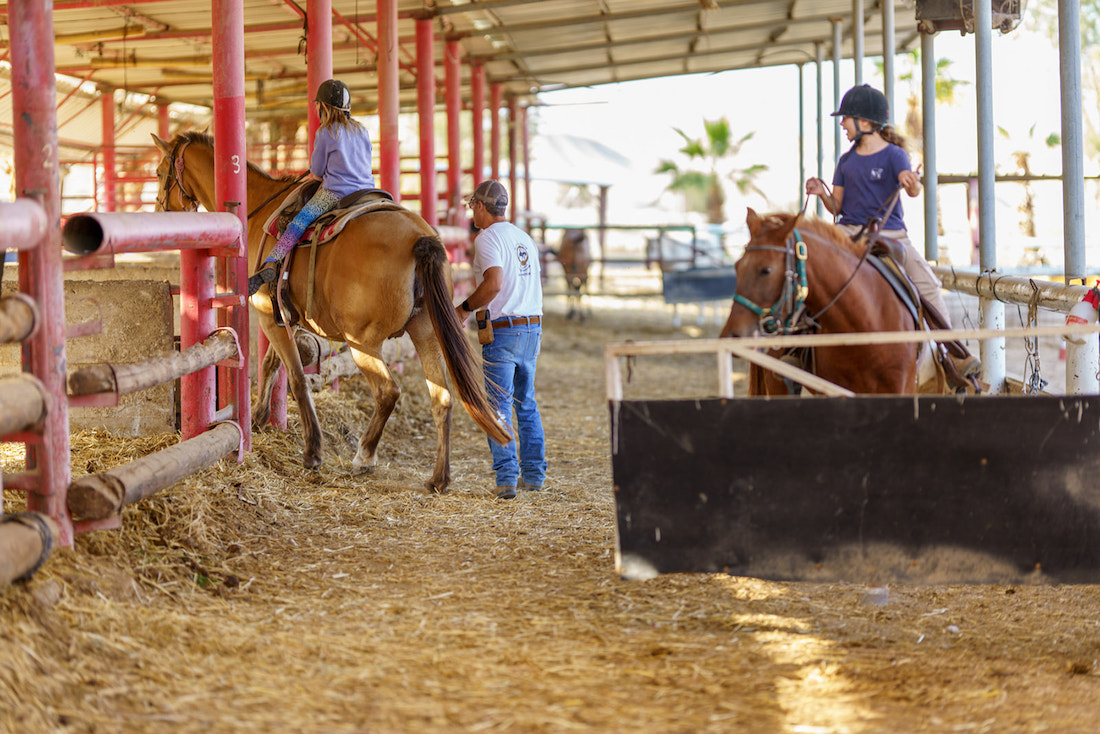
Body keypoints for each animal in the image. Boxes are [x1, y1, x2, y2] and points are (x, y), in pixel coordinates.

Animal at [151, 132, 510, 493]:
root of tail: (418, 238)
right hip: (424, 332)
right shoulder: (285, 319)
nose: (159, 208)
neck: (257, 210)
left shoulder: (268, 316)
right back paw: (439, 477)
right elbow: (270, 365)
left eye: (158, 171)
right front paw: (260, 417)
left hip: (363, 343)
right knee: (442, 397)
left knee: (387, 392)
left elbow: (295, 377)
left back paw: (364, 457)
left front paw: (311, 450)